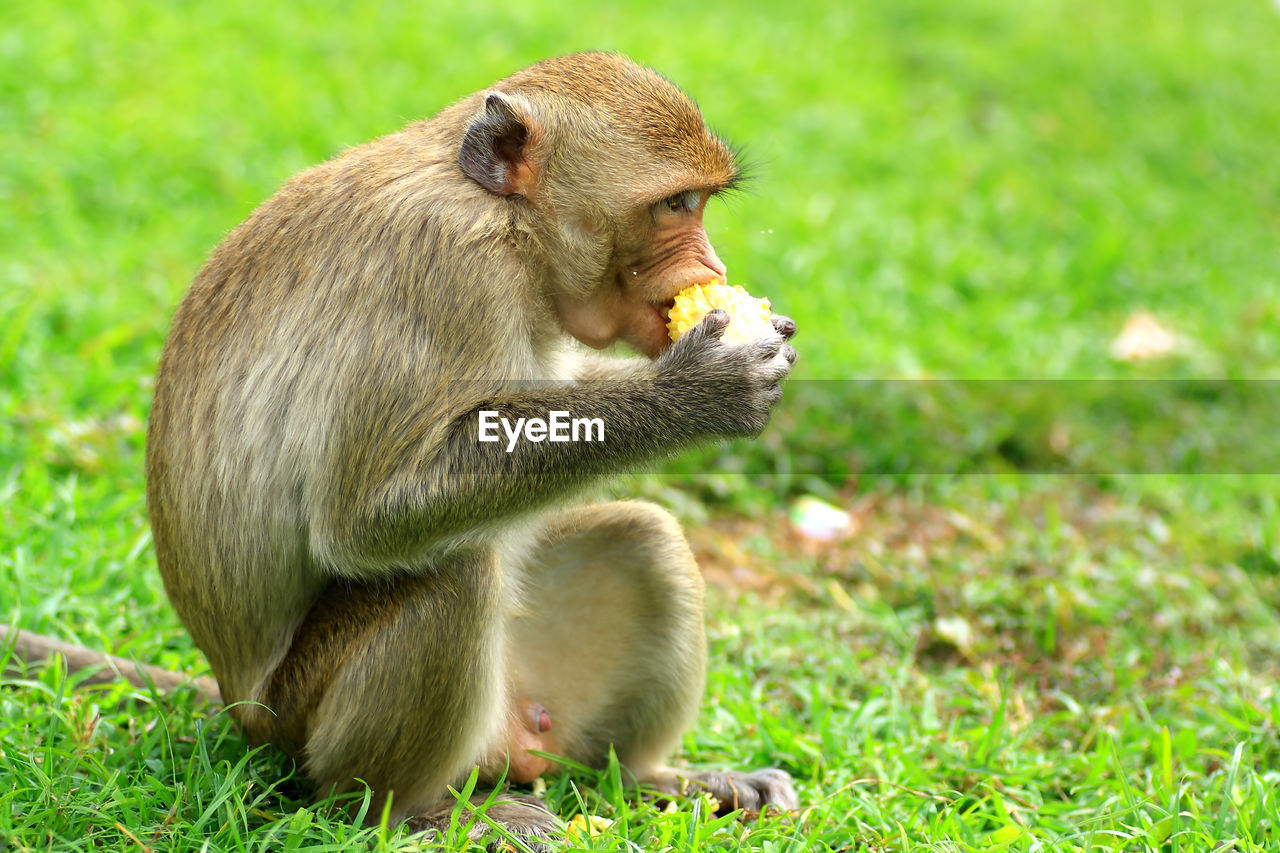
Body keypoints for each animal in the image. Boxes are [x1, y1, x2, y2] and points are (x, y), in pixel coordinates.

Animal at [7, 53, 798, 845]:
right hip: (303, 716)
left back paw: (649, 777)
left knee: (645, 536)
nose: (712, 264)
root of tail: (240, 702)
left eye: (700, 202)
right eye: (675, 204)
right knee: (451, 576)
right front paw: (702, 389)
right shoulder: (445, 271)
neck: (512, 227)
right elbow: (366, 515)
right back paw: (413, 809)